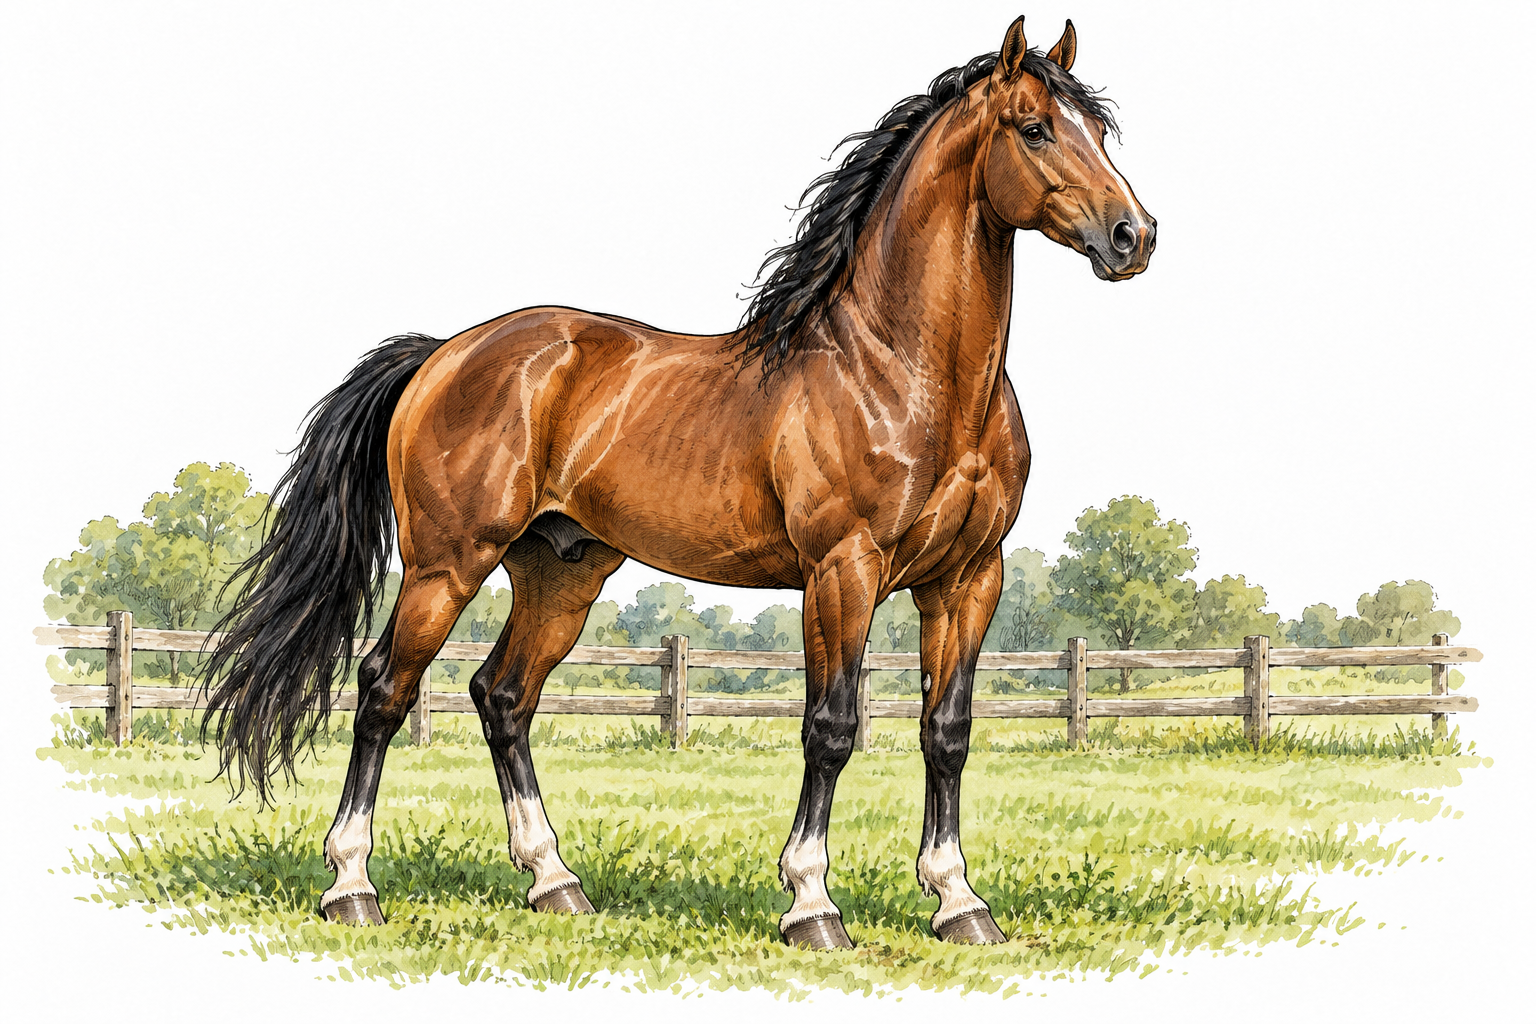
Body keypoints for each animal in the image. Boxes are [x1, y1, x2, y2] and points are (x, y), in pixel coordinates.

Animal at [202, 16, 1154, 950]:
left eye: (1100, 130)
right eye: (1034, 128)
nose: (1133, 236)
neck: (903, 374)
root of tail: (444, 352)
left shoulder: (967, 579)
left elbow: (946, 732)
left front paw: (959, 902)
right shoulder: (841, 572)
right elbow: (832, 727)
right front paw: (812, 906)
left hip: (560, 572)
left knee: (502, 696)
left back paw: (555, 883)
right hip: (447, 564)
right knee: (382, 691)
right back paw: (352, 887)